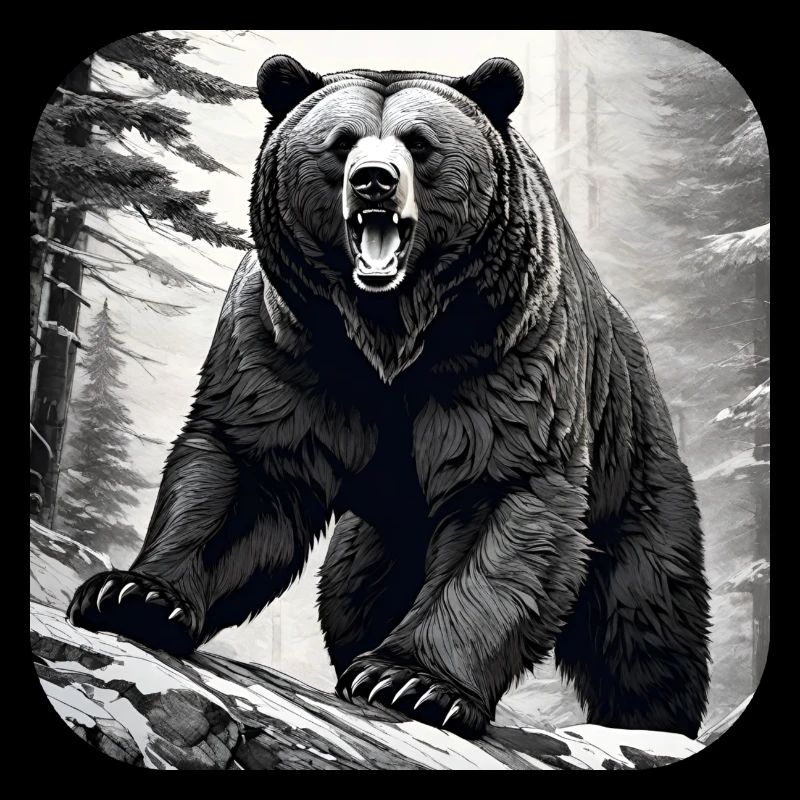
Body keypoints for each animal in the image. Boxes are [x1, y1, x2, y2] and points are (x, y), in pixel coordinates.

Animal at [68, 55, 711, 740]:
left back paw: (648, 719)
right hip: (377, 533)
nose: (374, 181)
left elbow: (503, 496)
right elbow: (248, 471)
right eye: (340, 141)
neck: (389, 331)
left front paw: (412, 682)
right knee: (353, 593)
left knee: (642, 616)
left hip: (630, 462)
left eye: (420, 144)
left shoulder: (505, 347)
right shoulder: (289, 345)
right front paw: (133, 595)